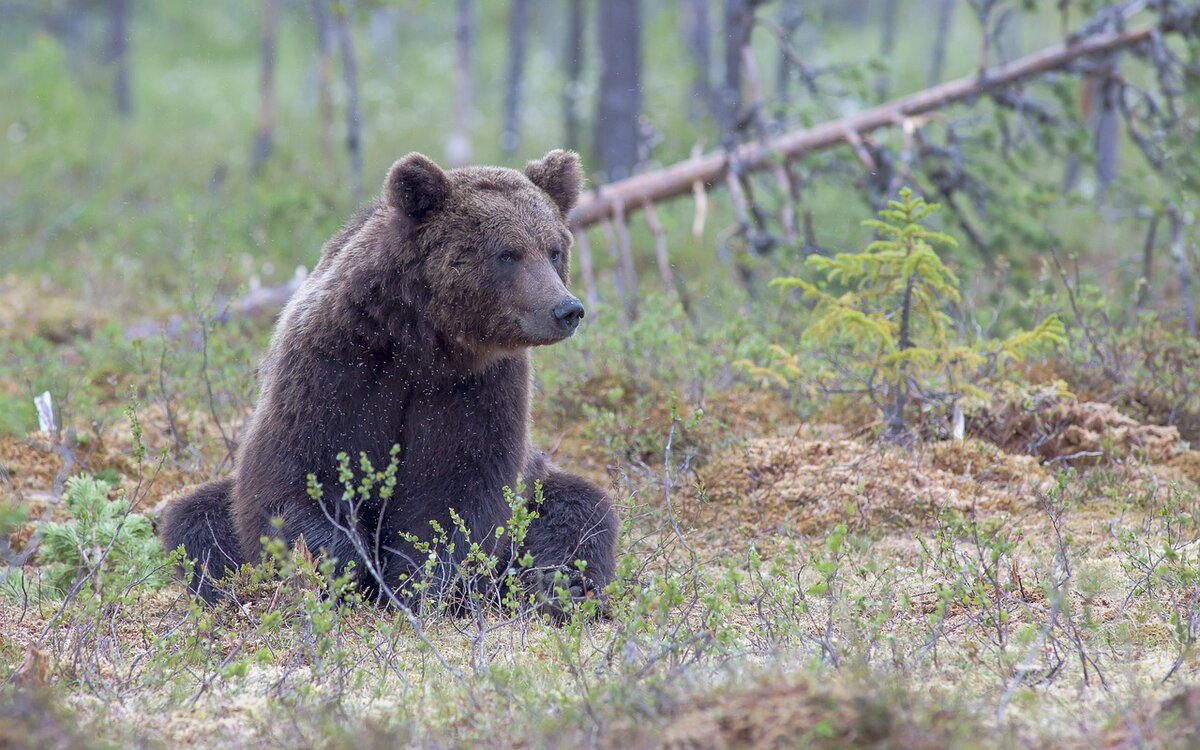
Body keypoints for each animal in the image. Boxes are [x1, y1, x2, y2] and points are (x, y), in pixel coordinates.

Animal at [162, 149, 619, 619]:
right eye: (508, 253)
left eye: (554, 249)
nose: (566, 309)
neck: (422, 341)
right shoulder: (335, 365)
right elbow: (299, 474)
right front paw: (339, 570)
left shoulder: (477, 387)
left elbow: (456, 492)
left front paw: (419, 586)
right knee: (197, 519)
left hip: (539, 479)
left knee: (580, 511)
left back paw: (558, 587)